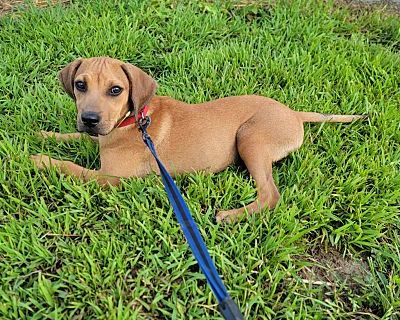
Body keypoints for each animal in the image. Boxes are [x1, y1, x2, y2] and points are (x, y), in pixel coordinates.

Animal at [31, 57, 368, 221]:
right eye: (80, 85)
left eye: (116, 90)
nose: (90, 118)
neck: (132, 120)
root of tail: (294, 114)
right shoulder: (99, 137)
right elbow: (75, 138)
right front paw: (45, 135)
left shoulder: (111, 178)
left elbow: (72, 168)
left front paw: (39, 160)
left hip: (250, 137)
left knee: (270, 195)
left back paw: (231, 216)